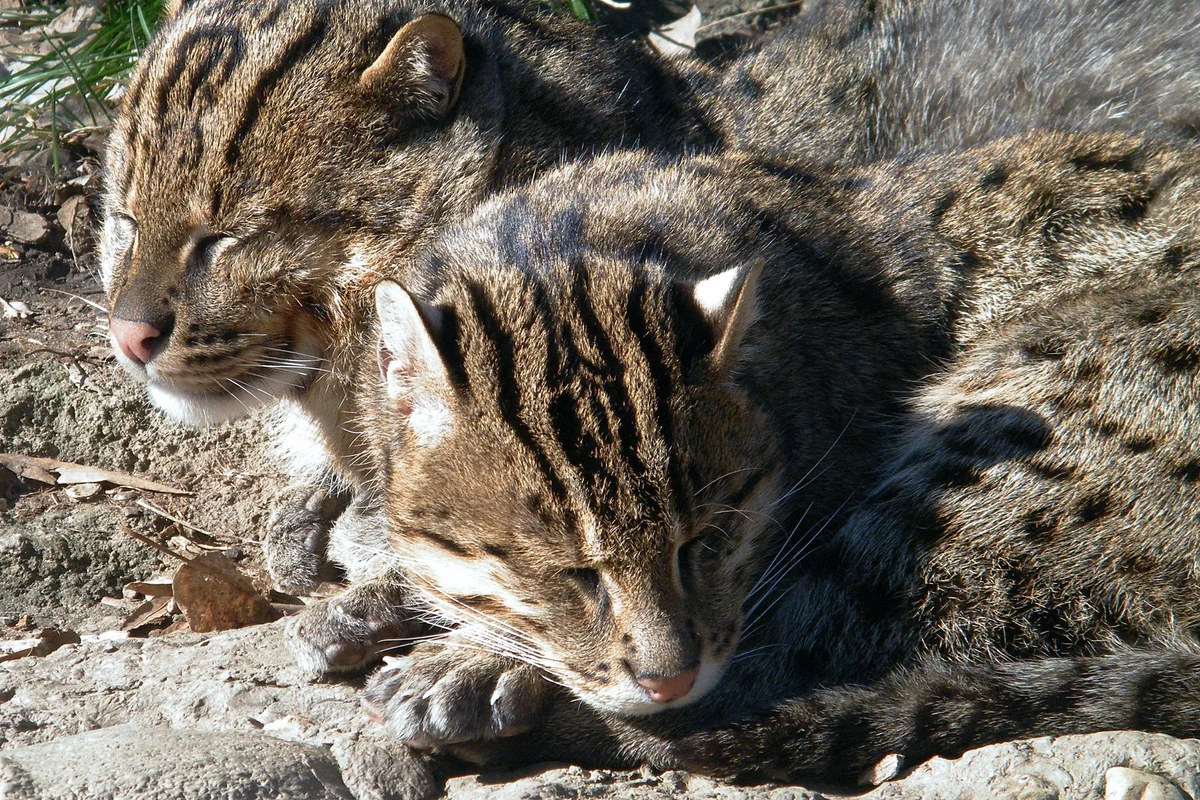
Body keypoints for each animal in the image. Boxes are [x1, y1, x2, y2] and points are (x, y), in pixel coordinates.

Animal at [355, 133, 1200, 782]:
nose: (670, 678)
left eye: (708, 538)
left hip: (977, 475)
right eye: (570, 574)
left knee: (794, 662)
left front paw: (468, 657)